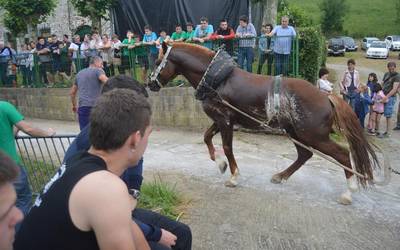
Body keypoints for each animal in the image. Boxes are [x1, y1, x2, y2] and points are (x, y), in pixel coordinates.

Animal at [148, 41, 380, 205]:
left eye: (158, 62)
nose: (150, 84)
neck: (219, 81)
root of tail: (327, 97)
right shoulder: (221, 120)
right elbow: (206, 138)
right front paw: (221, 164)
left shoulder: (225, 120)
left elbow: (227, 147)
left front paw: (233, 176)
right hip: (295, 132)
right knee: (305, 154)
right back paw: (280, 176)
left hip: (313, 136)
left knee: (342, 154)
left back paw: (348, 192)